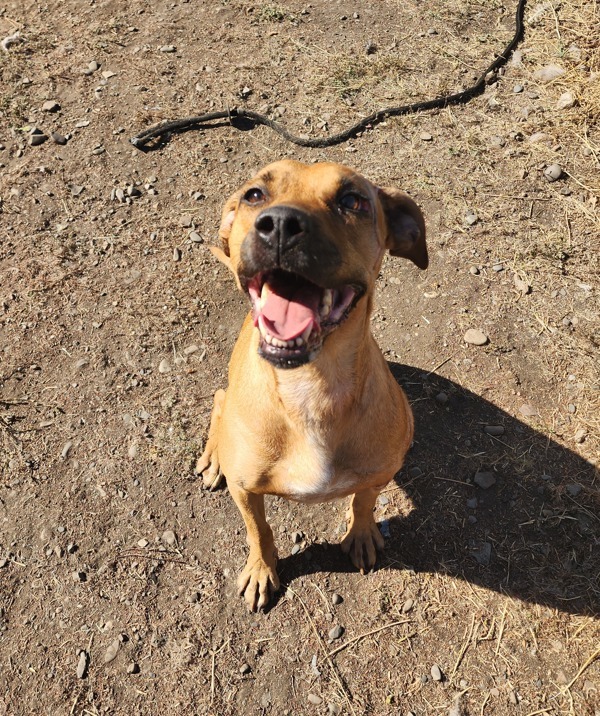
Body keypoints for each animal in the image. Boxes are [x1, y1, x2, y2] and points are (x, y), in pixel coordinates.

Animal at [197, 161, 426, 608]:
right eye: (254, 195)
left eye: (353, 200)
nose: (281, 225)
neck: (310, 388)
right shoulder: (246, 491)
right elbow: (259, 530)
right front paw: (261, 569)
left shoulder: (382, 470)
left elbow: (365, 500)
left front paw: (361, 534)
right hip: (227, 406)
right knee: (218, 400)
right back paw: (214, 457)